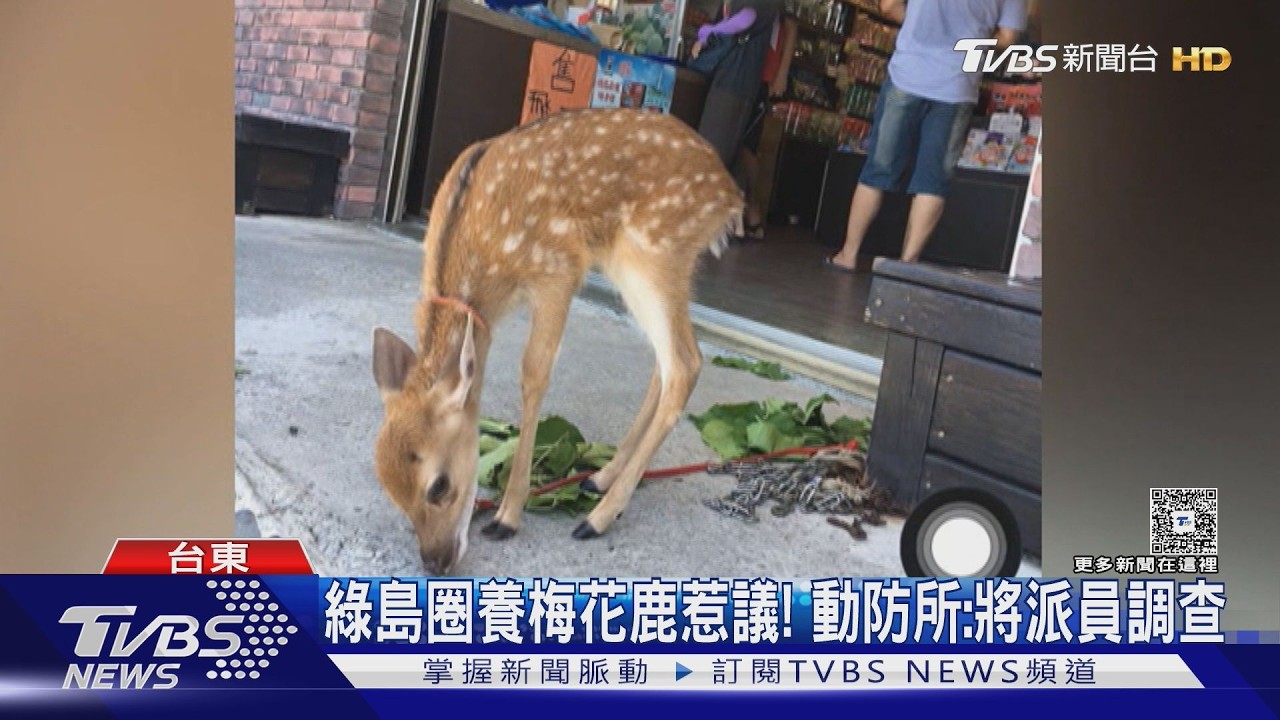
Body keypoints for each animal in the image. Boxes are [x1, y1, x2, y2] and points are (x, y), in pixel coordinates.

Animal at [370, 107, 745, 574]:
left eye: (438, 486)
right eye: (389, 490)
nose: (435, 563)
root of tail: (732, 197)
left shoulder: (558, 268)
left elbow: (533, 373)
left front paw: (507, 517)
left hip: (654, 251)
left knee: (685, 362)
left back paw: (596, 518)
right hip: (638, 265)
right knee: (666, 360)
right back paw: (600, 479)